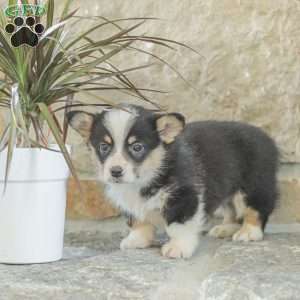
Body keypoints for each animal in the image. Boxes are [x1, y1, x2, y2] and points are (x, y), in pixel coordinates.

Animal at [68, 105, 278, 258]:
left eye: (137, 147)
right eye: (104, 147)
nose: (115, 171)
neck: (145, 177)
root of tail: (267, 138)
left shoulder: (183, 197)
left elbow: (179, 226)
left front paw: (178, 248)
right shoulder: (131, 203)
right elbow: (138, 222)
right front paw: (137, 240)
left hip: (253, 186)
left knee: (256, 210)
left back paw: (248, 232)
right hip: (227, 187)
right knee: (231, 209)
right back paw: (226, 228)